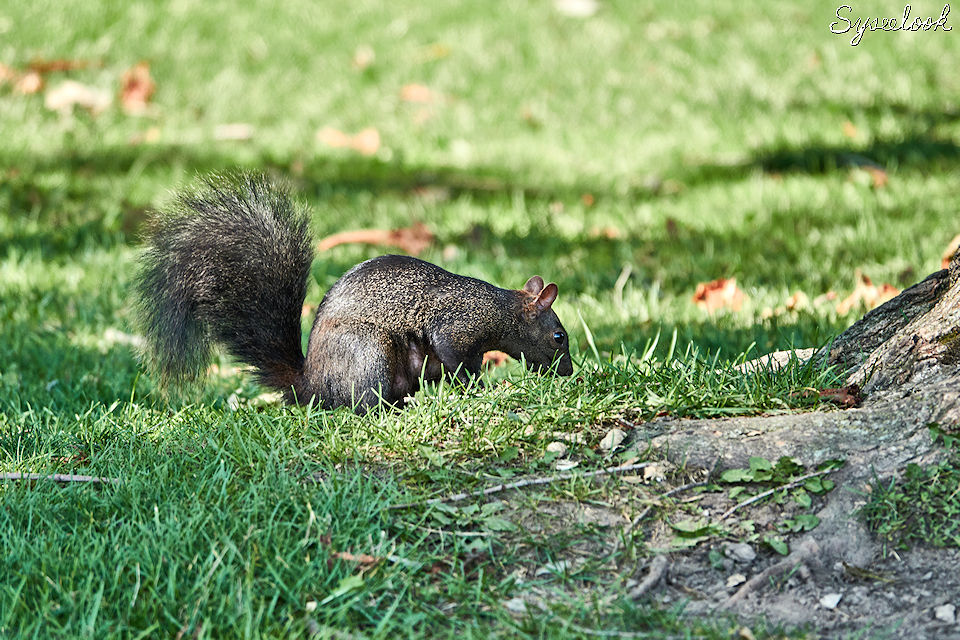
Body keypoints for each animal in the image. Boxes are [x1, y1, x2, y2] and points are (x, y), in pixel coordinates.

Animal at [134, 172, 568, 412]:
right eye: (558, 336)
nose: (568, 372)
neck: (498, 309)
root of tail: (312, 385)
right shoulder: (457, 327)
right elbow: (458, 361)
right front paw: (483, 389)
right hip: (369, 352)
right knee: (362, 405)